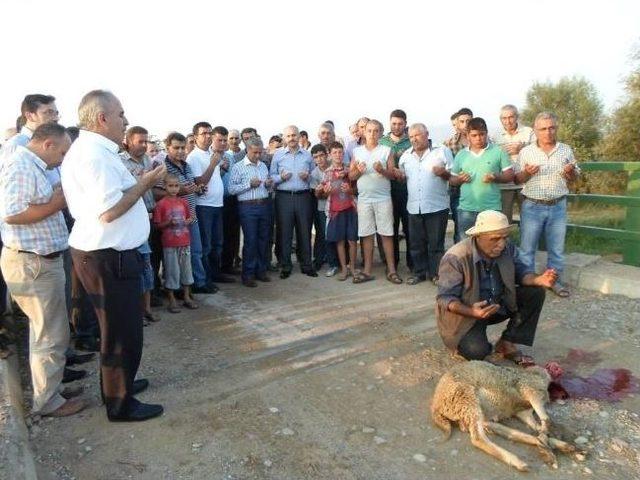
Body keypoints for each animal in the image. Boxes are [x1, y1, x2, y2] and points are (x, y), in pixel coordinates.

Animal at [432, 362, 576, 470]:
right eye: (556, 368)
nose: (566, 395)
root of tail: (436, 406)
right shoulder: (531, 391)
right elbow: (546, 420)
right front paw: (547, 449)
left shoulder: (524, 411)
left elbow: (539, 426)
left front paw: (546, 443)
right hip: (467, 399)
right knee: (478, 438)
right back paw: (519, 461)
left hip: (475, 410)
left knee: (502, 429)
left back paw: (556, 446)